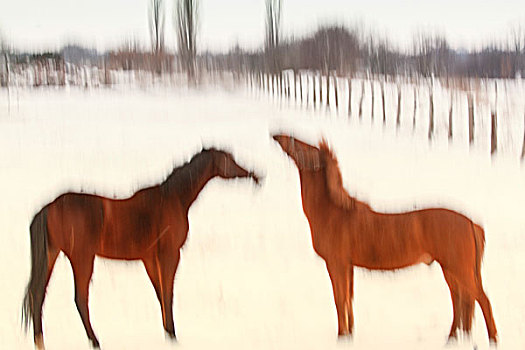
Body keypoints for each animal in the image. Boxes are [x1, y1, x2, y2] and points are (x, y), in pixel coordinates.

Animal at [22, 148, 260, 350]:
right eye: (229, 159)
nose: (254, 174)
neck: (174, 199)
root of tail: (49, 207)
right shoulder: (169, 255)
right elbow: (168, 293)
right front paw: (173, 334)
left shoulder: (149, 259)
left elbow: (160, 293)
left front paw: (168, 333)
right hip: (82, 259)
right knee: (80, 298)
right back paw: (95, 341)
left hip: (52, 255)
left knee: (37, 294)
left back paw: (40, 341)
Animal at [272, 134, 498, 344]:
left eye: (307, 148)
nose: (278, 136)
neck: (332, 213)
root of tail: (472, 223)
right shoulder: (348, 266)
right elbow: (348, 299)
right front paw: (350, 334)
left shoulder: (336, 263)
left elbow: (339, 299)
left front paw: (342, 336)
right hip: (451, 269)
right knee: (461, 301)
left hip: (459, 268)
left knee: (481, 299)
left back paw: (492, 339)